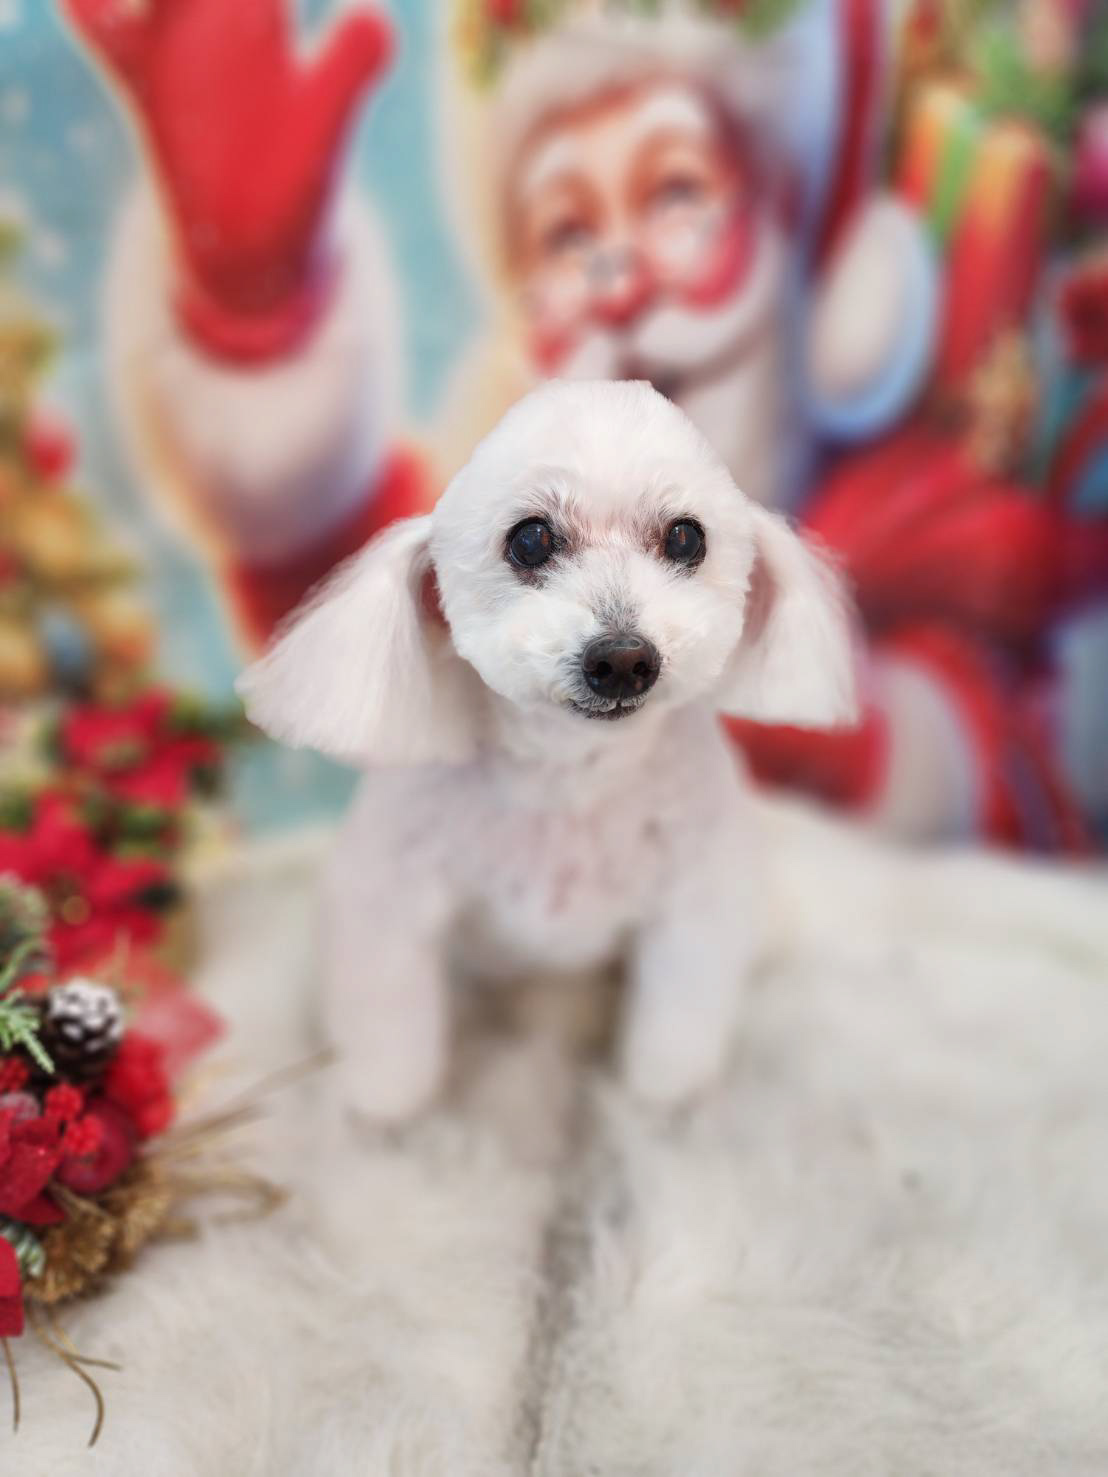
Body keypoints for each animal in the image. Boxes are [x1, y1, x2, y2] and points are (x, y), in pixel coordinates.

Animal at [238, 380, 857, 1121]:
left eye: (686, 537)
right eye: (530, 539)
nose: (623, 660)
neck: (570, 773)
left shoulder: (697, 904)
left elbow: (678, 1017)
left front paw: (662, 1094)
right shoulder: (388, 900)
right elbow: (388, 1015)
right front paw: (387, 1100)